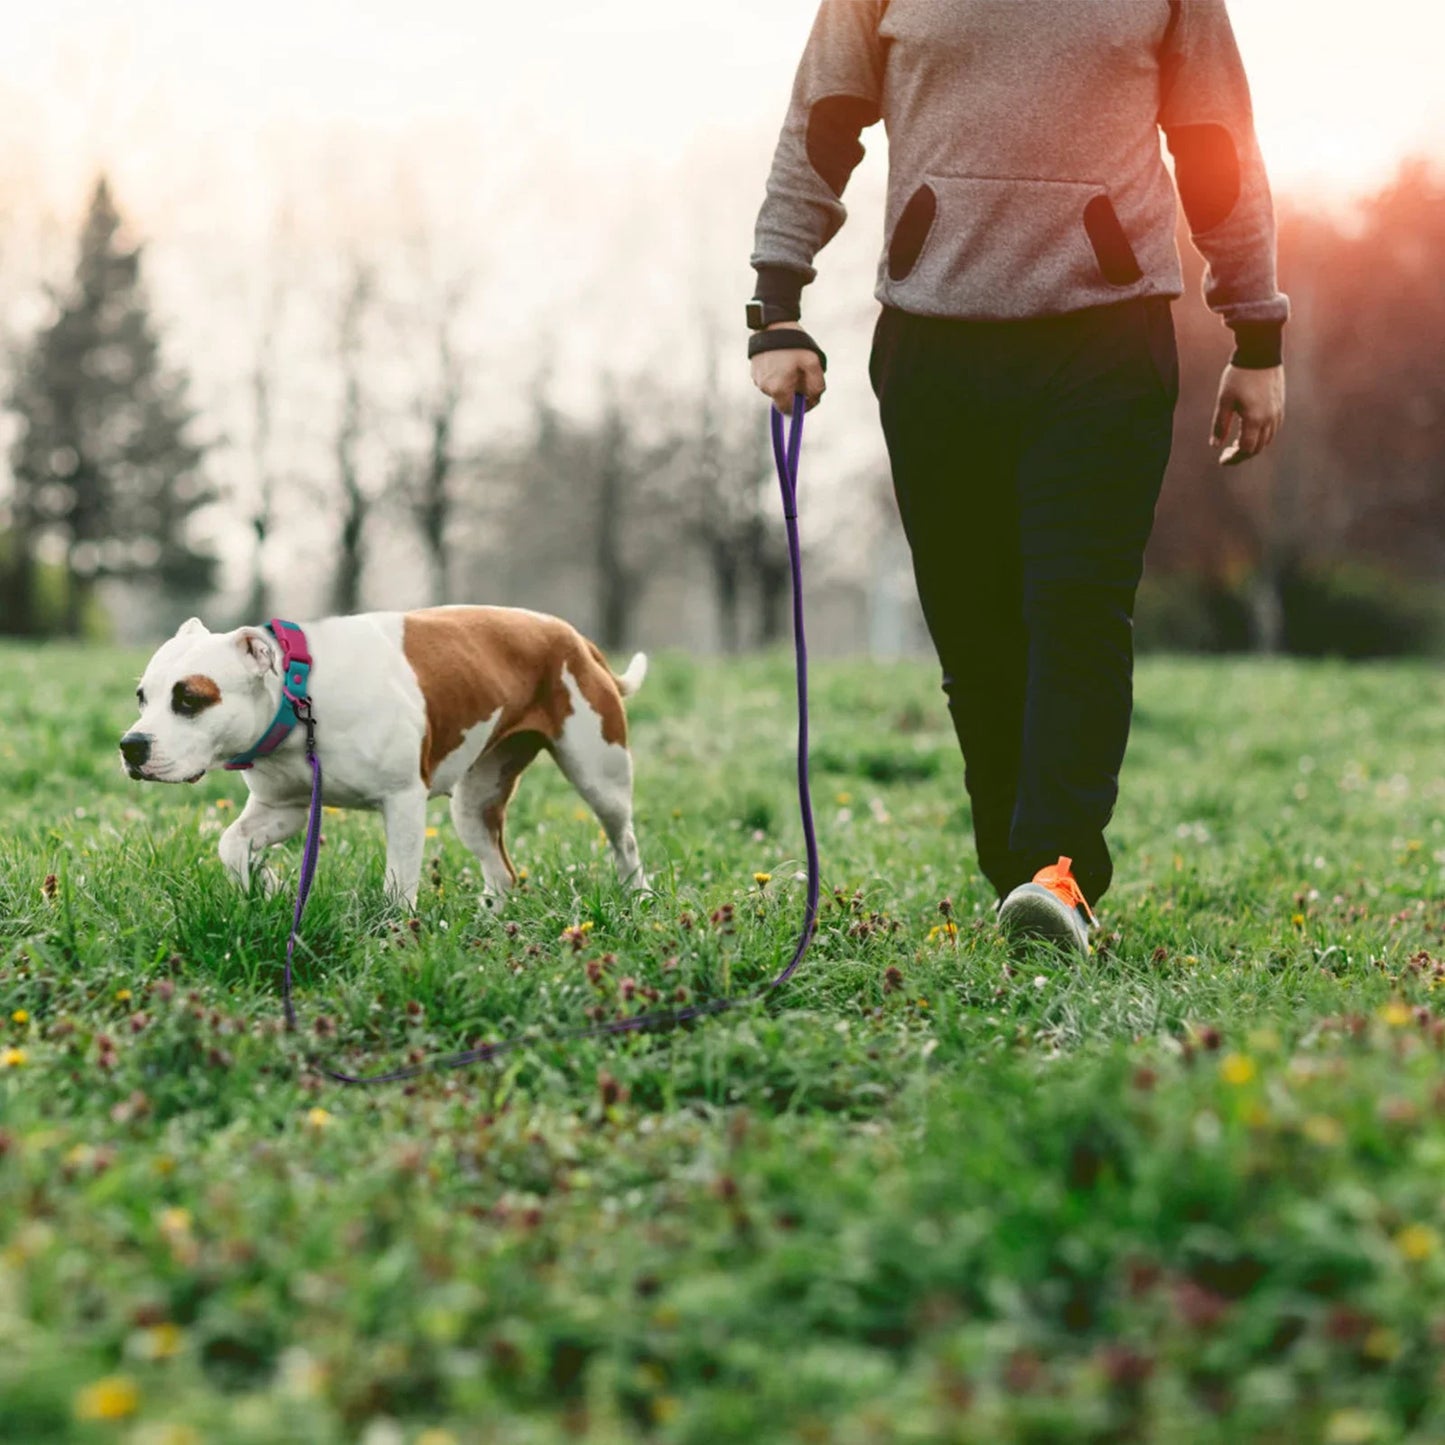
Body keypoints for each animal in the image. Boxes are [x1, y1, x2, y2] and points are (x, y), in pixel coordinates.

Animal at [118, 606, 650, 901]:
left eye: (190, 699)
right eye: (141, 697)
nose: (131, 745)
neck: (300, 699)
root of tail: (575, 638)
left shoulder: (403, 802)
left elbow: (398, 885)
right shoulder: (284, 808)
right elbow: (231, 845)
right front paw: (265, 888)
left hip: (600, 777)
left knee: (624, 841)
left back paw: (637, 899)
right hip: (474, 803)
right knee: (502, 873)